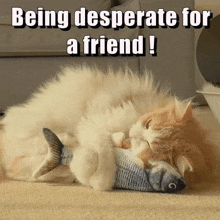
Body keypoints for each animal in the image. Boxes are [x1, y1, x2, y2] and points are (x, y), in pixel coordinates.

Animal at [0, 66, 217, 190]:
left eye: (149, 145)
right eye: (148, 123)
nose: (135, 133)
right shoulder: (96, 122)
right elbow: (102, 149)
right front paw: (102, 178)